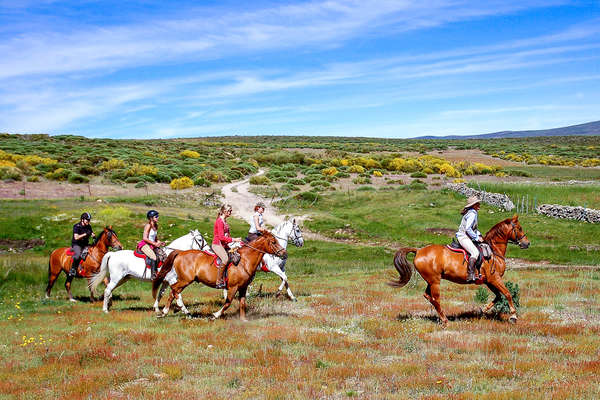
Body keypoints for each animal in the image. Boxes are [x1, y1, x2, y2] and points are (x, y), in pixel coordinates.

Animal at [154, 230, 288, 320]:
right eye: (273, 242)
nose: (284, 254)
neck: (244, 260)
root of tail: (180, 252)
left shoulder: (243, 287)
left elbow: (242, 303)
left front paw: (243, 320)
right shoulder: (233, 287)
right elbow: (228, 303)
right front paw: (215, 315)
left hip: (184, 280)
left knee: (173, 292)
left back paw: (167, 312)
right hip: (185, 280)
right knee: (174, 290)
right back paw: (178, 311)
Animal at [392, 216, 528, 324]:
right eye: (520, 228)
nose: (527, 243)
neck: (494, 251)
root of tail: (419, 250)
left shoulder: (488, 281)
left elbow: (498, 296)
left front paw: (483, 310)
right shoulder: (495, 279)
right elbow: (508, 294)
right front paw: (513, 316)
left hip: (431, 280)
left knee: (428, 296)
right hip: (435, 281)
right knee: (436, 299)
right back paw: (445, 320)